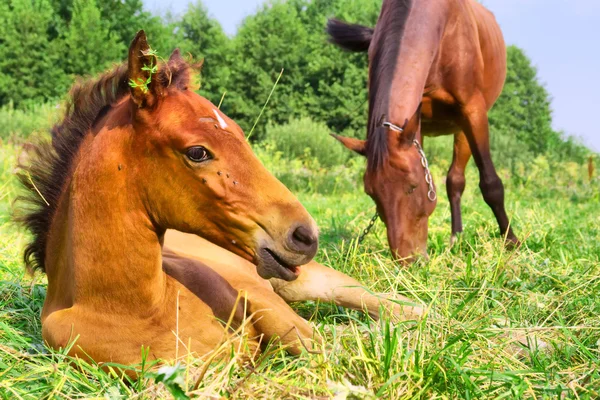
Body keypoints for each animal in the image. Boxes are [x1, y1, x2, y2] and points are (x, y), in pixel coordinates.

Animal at [17, 32, 422, 372]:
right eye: (197, 152)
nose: (305, 235)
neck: (140, 310)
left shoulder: (259, 296)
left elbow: (314, 343)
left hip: (308, 282)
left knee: (377, 302)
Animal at [326, 0, 516, 260]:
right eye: (371, 193)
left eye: (413, 186)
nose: (409, 259)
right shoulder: (415, 124)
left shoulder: (473, 110)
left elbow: (491, 184)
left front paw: (511, 242)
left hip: (463, 126)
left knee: (456, 179)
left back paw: (458, 238)